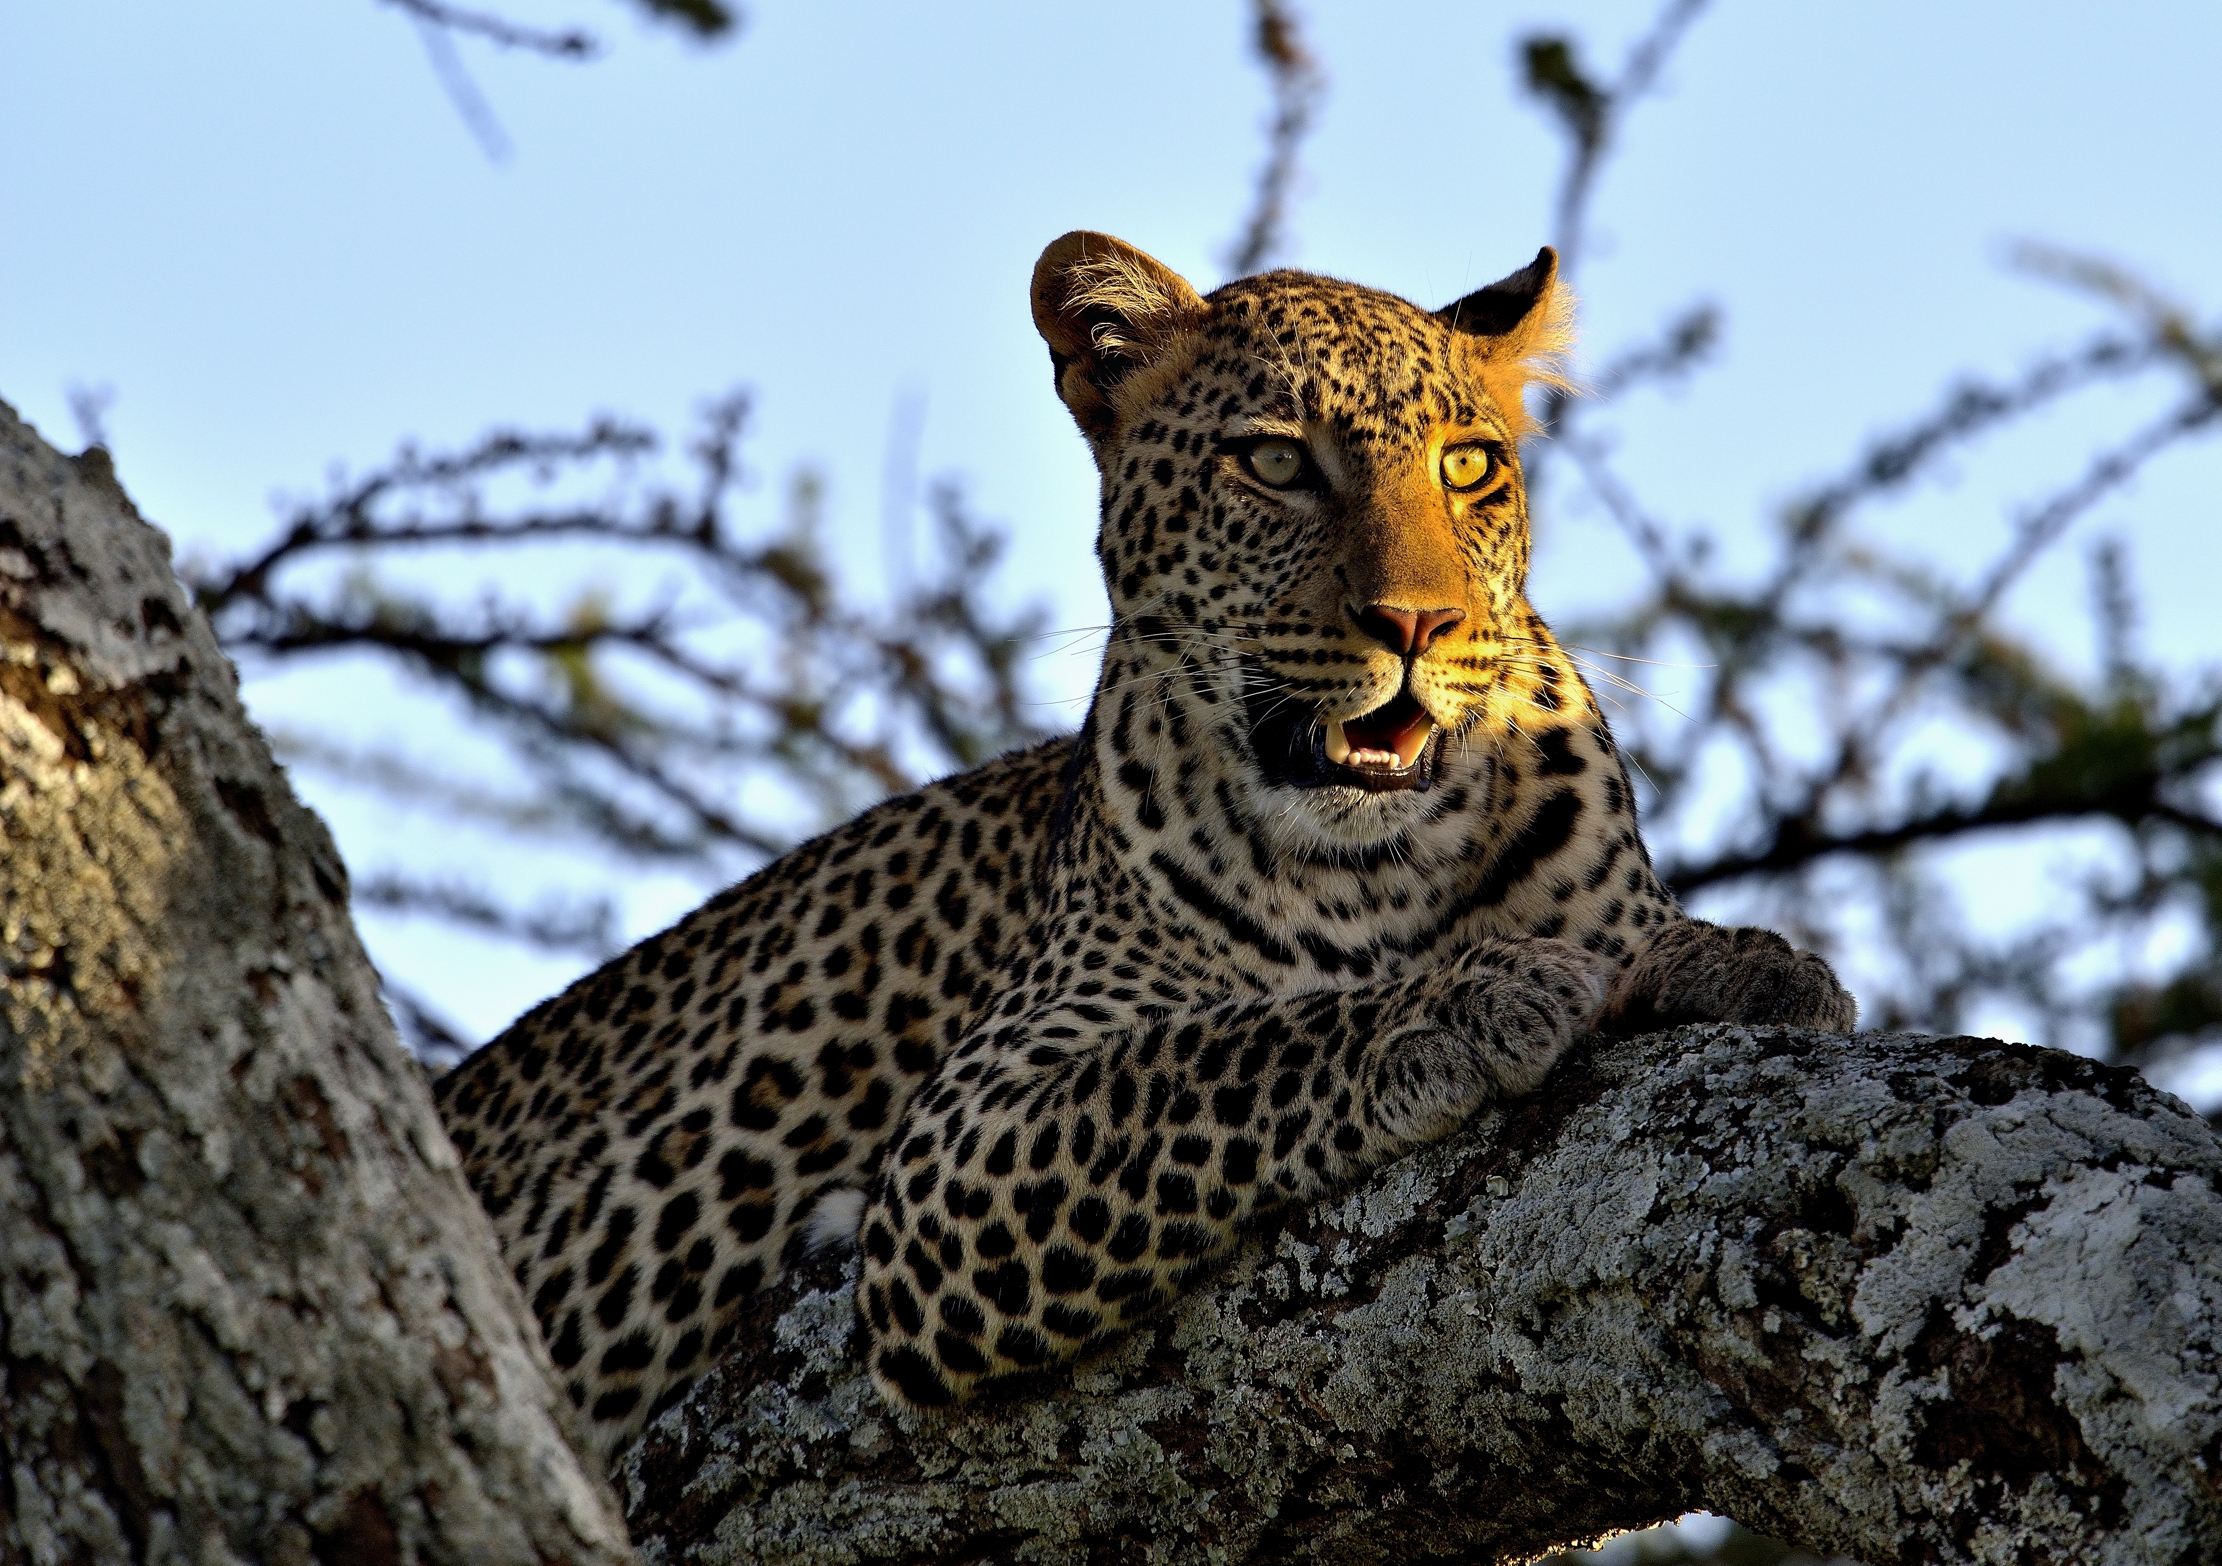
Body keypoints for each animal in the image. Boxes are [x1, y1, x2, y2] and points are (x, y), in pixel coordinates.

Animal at [433, 231, 1857, 1471]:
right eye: (1274, 463)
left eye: (1468, 469)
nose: (1418, 620)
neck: (1384, 864)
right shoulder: (962, 1146)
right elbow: (1216, 1052)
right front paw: (1460, 1002)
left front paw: (1738, 960)